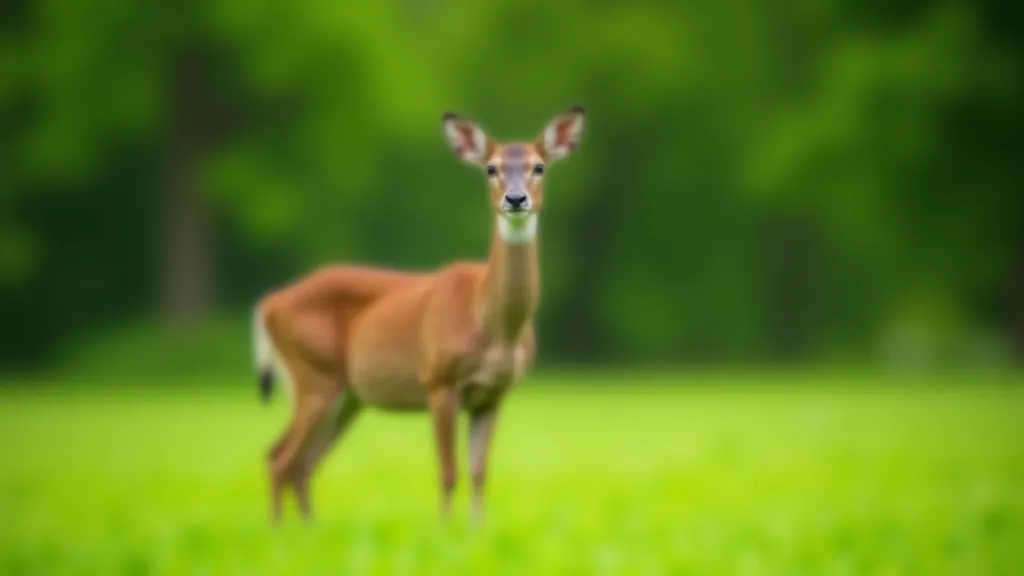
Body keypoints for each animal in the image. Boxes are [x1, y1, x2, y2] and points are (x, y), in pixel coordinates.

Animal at [251, 105, 586, 524]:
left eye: (539, 166)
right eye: (490, 168)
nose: (515, 198)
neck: (491, 323)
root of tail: (269, 303)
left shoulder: (494, 392)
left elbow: (479, 471)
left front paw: (477, 528)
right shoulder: (437, 380)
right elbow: (448, 471)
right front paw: (445, 530)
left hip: (346, 394)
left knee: (299, 463)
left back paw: (306, 529)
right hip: (314, 375)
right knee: (280, 458)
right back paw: (281, 531)